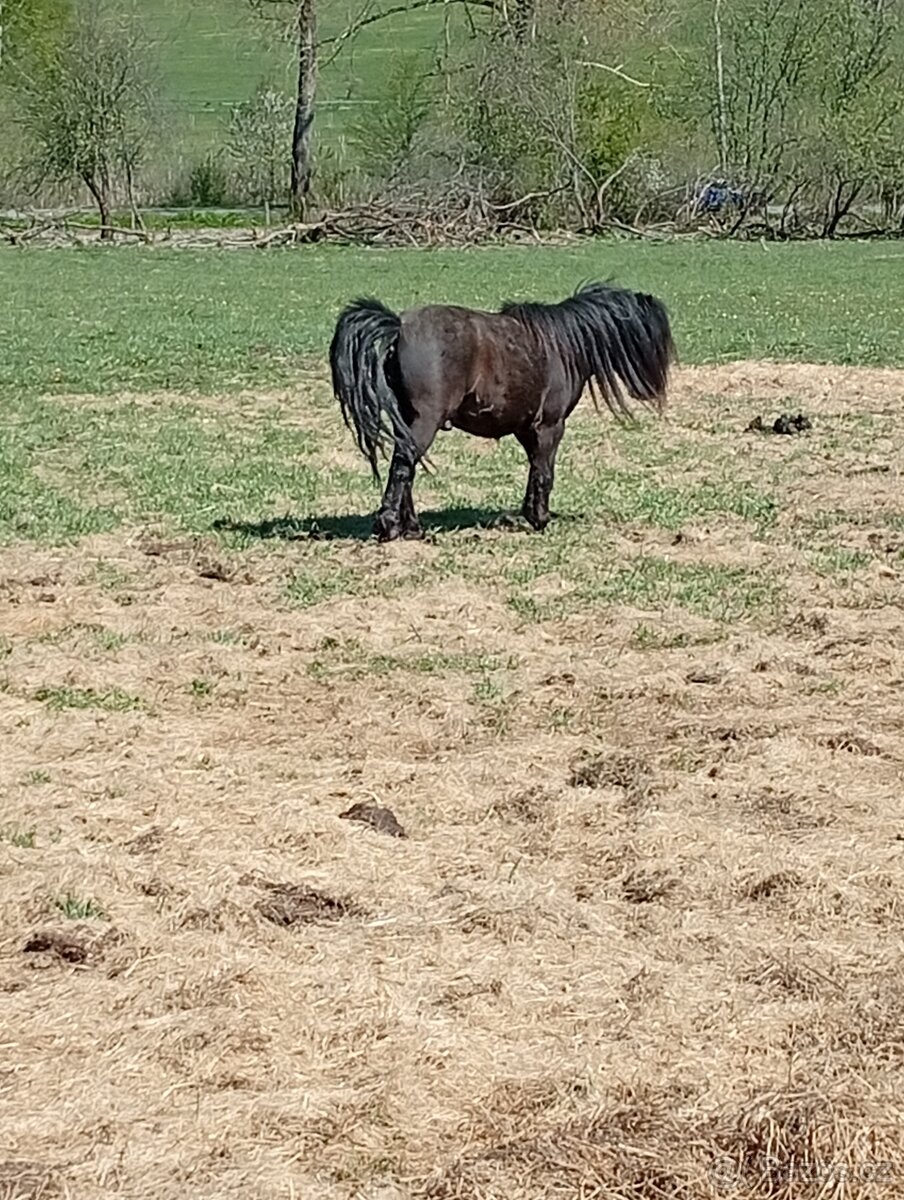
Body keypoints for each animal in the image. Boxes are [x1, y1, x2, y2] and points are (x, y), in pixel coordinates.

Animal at [328, 280, 676, 542]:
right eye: (651, 336)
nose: (655, 390)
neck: (563, 345)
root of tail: (399, 328)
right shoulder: (551, 426)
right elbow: (544, 472)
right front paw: (540, 519)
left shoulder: (526, 428)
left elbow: (534, 469)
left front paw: (531, 513)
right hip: (425, 420)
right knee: (403, 465)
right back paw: (390, 526)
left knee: (406, 466)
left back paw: (411, 527)